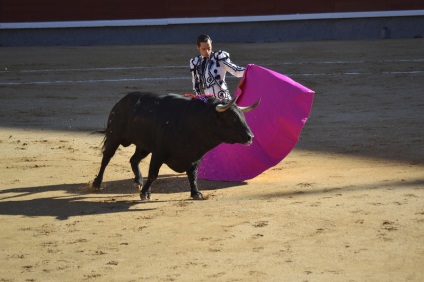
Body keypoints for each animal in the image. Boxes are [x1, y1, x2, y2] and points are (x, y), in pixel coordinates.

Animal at [92, 91, 258, 199]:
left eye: (243, 117)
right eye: (232, 119)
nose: (250, 137)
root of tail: (121, 101)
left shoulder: (195, 156)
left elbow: (193, 175)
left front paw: (196, 193)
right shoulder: (159, 153)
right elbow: (153, 174)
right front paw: (145, 194)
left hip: (143, 146)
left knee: (134, 160)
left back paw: (138, 181)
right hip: (115, 136)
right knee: (106, 158)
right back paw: (97, 183)